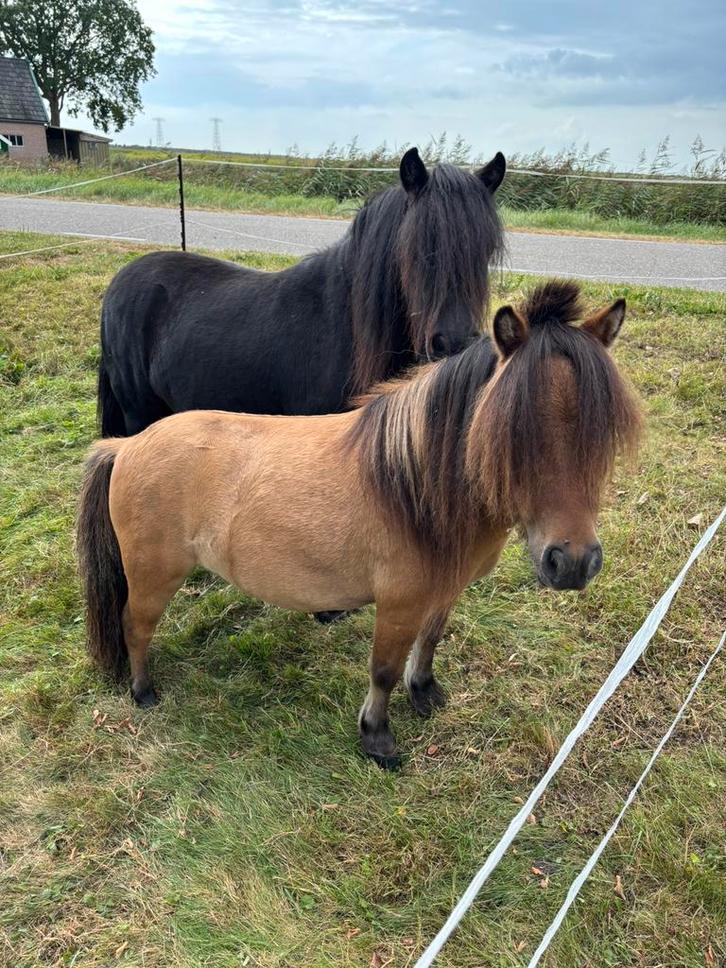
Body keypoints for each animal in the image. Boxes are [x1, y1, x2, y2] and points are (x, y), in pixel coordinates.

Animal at [78, 281, 641, 769]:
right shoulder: (397, 605)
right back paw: (144, 692)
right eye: (512, 431)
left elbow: (429, 643)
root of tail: (128, 445)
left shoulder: (444, 591)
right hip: (154, 576)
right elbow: (384, 670)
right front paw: (377, 739)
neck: (414, 487)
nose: (572, 562)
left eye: (603, 430)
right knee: (135, 625)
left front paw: (425, 694)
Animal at [97, 147, 506, 437]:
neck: (345, 326)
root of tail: (120, 281)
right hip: (138, 414)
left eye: (485, 250)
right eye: (417, 247)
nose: (454, 342)